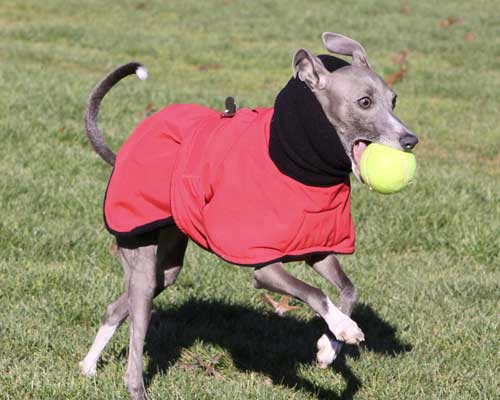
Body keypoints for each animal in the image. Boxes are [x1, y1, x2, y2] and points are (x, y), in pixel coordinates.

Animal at [79, 32, 418, 398]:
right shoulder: (265, 267)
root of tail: (121, 157)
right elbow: (314, 292)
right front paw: (344, 328)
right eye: (364, 102)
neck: (303, 168)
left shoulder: (317, 247)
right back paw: (131, 382)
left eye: (394, 100)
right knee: (135, 344)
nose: (410, 140)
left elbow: (348, 289)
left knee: (117, 308)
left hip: (164, 267)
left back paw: (88, 366)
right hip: (140, 258)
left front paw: (330, 345)